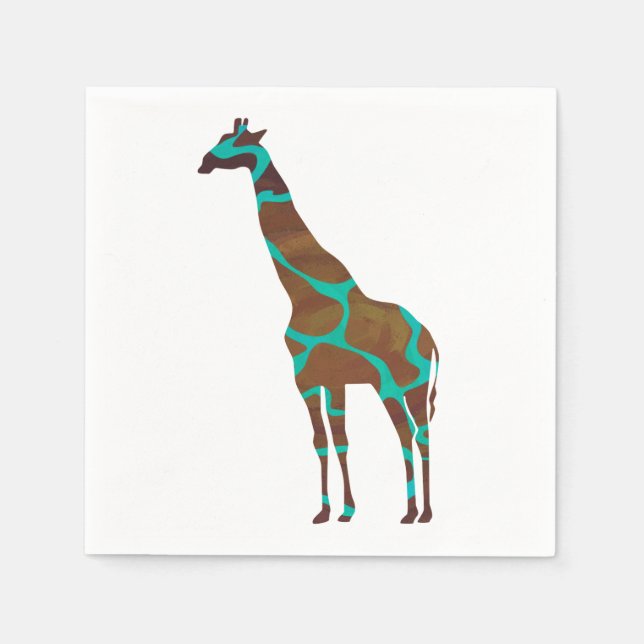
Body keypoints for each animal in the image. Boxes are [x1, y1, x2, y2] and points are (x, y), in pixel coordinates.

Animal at [198, 118, 439, 524]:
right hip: (403, 386)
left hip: (400, 384)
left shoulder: (304, 378)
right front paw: (338, 510)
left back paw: (416, 513)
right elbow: (334, 440)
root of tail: (431, 340)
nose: (203, 162)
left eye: (234, 141)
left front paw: (335, 510)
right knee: (415, 433)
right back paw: (418, 511)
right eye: (220, 137)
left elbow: (323, 440)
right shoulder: (330, 379)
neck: (301, 292)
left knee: (411, 434)